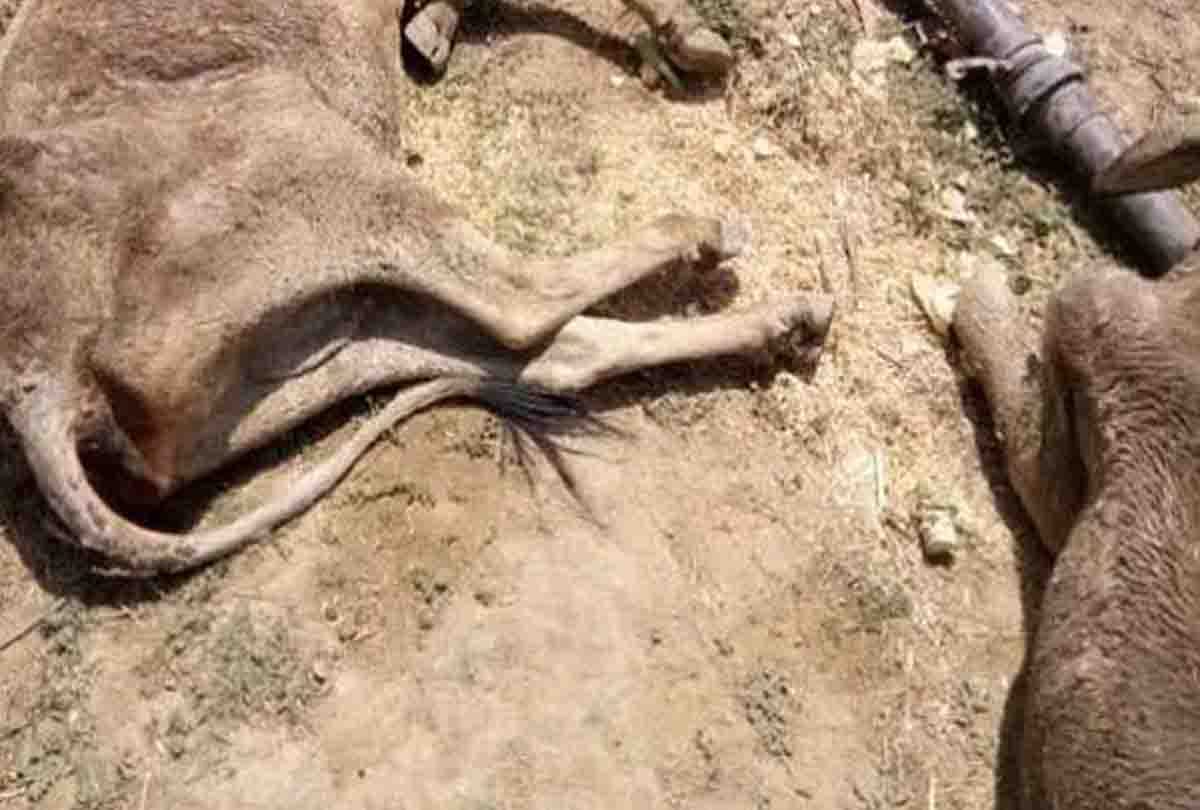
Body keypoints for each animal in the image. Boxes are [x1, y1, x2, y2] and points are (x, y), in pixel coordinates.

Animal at [0, 0, 834, 576]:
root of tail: (41, 383)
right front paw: (697, 43)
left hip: (328, 339)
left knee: (550, 353)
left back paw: (790, 319)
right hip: (300, 141)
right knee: (524, 299)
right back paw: (713, 233)